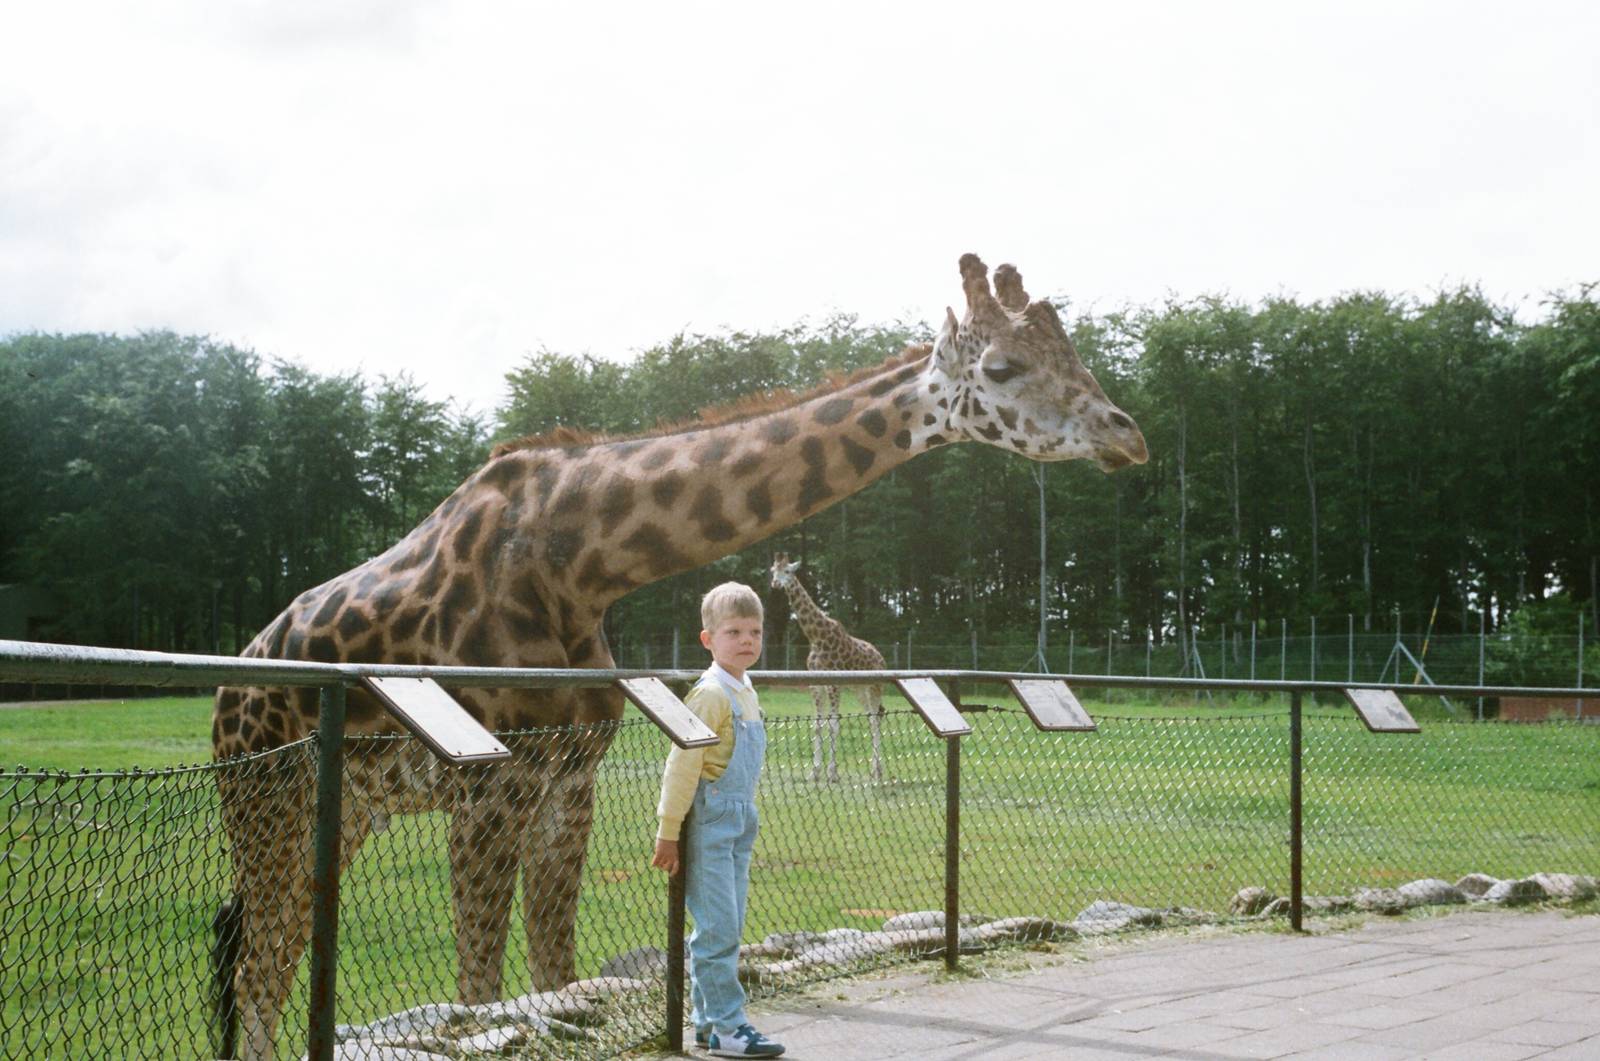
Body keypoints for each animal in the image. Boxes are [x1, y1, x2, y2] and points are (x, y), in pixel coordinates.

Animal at [770, 553, 887, 782]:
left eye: (787, 571)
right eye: (773, 571)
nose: (776, 584)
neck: (816, 637)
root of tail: (881, 658)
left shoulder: (834, 684)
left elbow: (833, 725)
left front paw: (832, 773)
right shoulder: (815, 684)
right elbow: (817, 725)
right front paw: (814, 772)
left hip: (875, 687)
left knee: (876, 720)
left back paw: (877, 771)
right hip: (860, 690)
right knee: (871, 718)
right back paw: (874, 770)